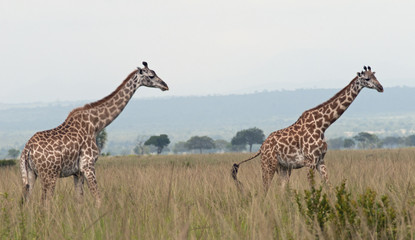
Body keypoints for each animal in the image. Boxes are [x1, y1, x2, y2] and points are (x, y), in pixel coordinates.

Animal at [20, 61, 168, 205]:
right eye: (151, 76)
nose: (165, 85)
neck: (96, 125)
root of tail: (27, 149)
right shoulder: (88, 166)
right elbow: (98, 198)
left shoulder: (78, 172)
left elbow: (79, 200)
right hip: (49, 174)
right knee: (45, 203)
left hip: (31, 174)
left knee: (27, 200)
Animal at [231, 65, 384, 191]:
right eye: (367, 78)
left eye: (375, 76)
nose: (380, 87)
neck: (322, 125)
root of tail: (261, 147)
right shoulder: (310, 162)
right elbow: (313, 189)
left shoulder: (320, 161)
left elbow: (329, 186)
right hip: (268, 164)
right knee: (265, 189)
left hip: (283, 167)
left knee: (281, 189)